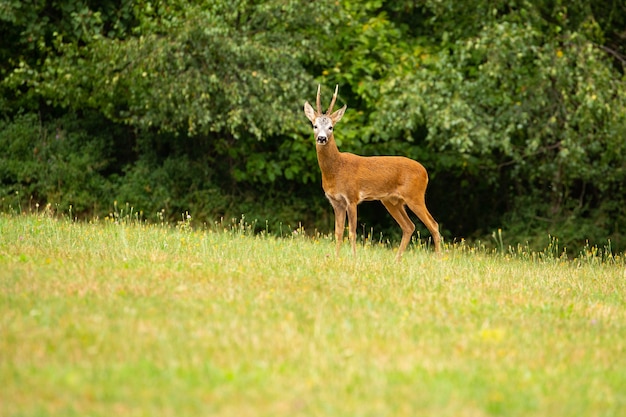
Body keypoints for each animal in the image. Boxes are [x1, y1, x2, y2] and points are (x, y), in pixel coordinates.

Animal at [302, 83, 438, 260]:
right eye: (315, 125)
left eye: (331, 127)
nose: (322, 138)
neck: (336, 169)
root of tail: (425, 173)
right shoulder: (336, 202)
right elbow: (338, 232)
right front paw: (336, 258)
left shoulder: (352, 197)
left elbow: (352, 232)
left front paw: (354, 258)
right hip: (392, 200)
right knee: (409, 226)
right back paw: (396, 260)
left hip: (415, 196)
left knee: (433, 224)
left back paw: (440, 258)